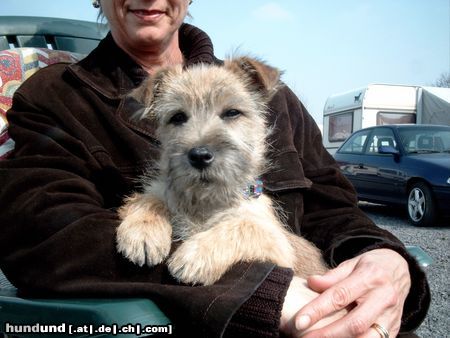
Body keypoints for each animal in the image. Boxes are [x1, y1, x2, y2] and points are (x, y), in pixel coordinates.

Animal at [116, 56, 326, 284]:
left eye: (232, 113)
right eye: (178, 117)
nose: (199, 155)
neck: (205, 200)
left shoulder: (277, 244)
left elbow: (244, 226)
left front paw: (196, 254)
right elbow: (151, 198)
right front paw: (142, 231)